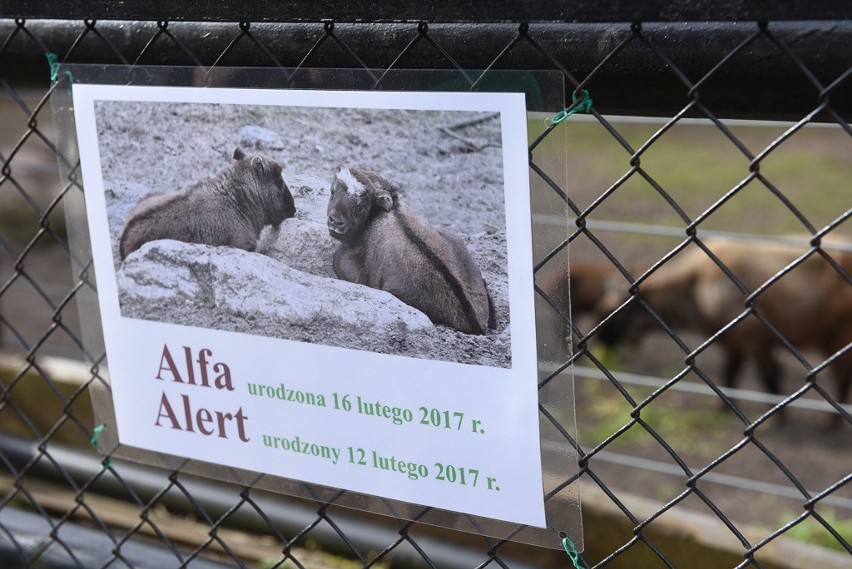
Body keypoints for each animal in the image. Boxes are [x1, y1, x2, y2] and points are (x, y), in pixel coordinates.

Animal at [600, 235, 852, 418]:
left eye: (617, 313)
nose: (602, 344)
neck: (694, 283)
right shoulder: (734, 341)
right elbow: (730, 373)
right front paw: (722, 407)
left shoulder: (754, 340)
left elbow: (770, 375)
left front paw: (778, 418)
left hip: (838, 338)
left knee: (842, 380)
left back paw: (832, 421)